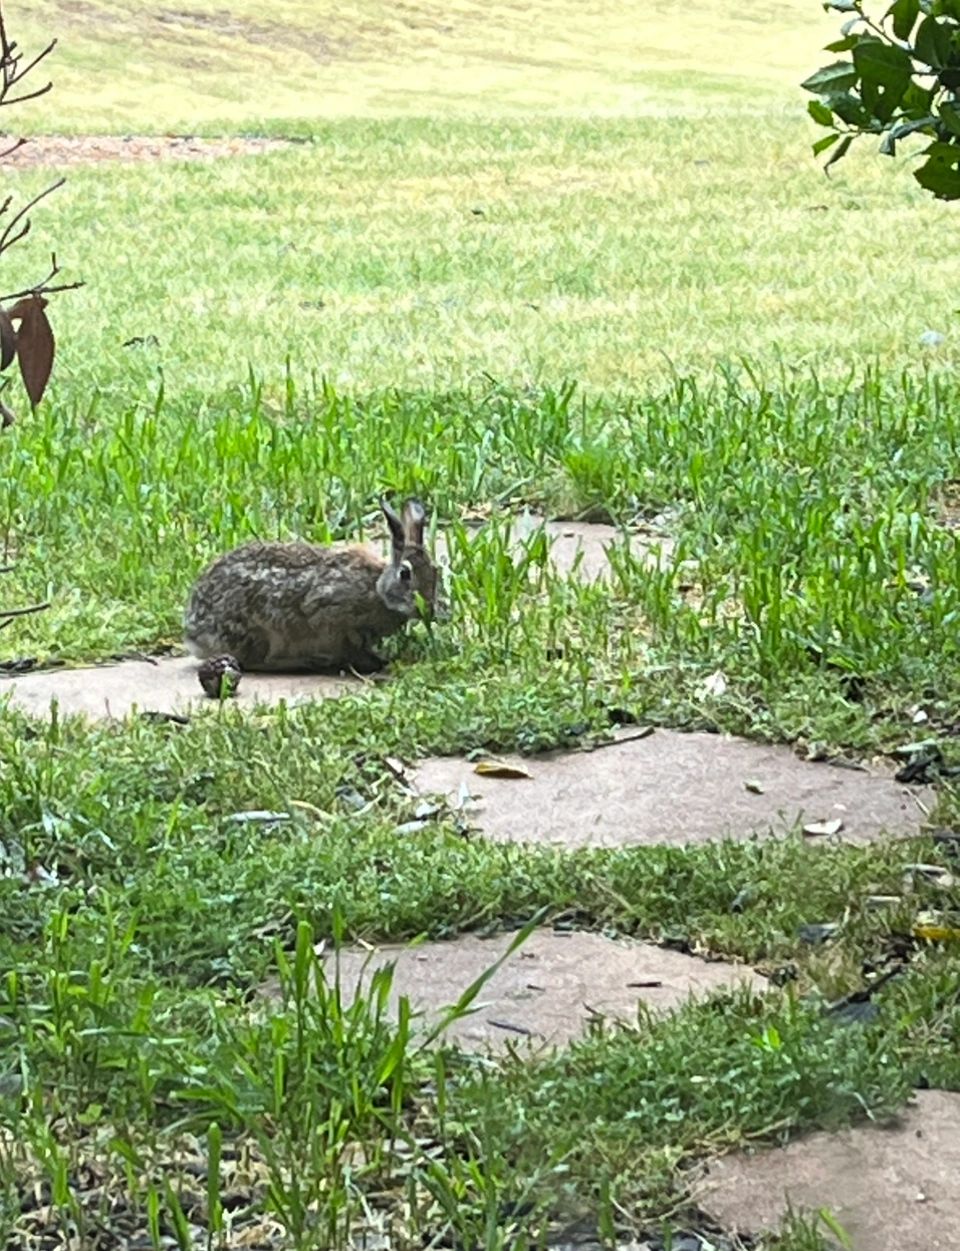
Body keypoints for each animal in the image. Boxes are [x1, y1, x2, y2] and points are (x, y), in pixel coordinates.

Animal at [183, 497, 437, 673]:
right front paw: (371, 662)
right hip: (260, 633)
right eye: (405, 574)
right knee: (259, 662)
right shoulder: (330, 615)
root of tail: (194, 633)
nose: (430, 608)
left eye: (436, 572)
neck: (376, 588)